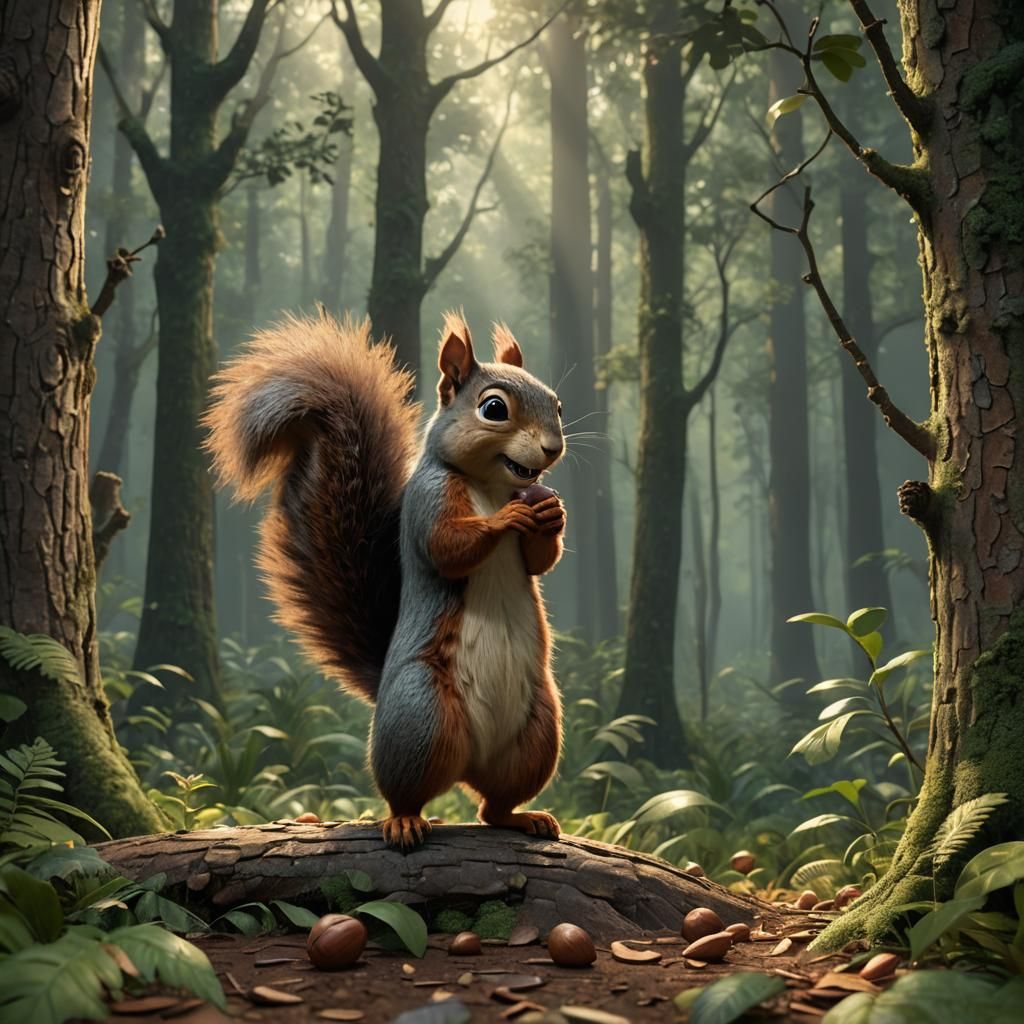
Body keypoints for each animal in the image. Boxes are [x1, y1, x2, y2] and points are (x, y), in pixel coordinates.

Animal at [204, 309, 567, 848]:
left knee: (493, 806)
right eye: (494, 408)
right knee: (406, 792)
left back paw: (523, 817)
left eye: (557, 404)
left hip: (536, 731)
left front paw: (552, 516)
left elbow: (539, 562)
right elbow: (447, 549)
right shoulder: (429, 498)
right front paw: (505, 521)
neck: (491, 486)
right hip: (423, 716)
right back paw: (404, 821)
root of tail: (467, 764)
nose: (552, 448)